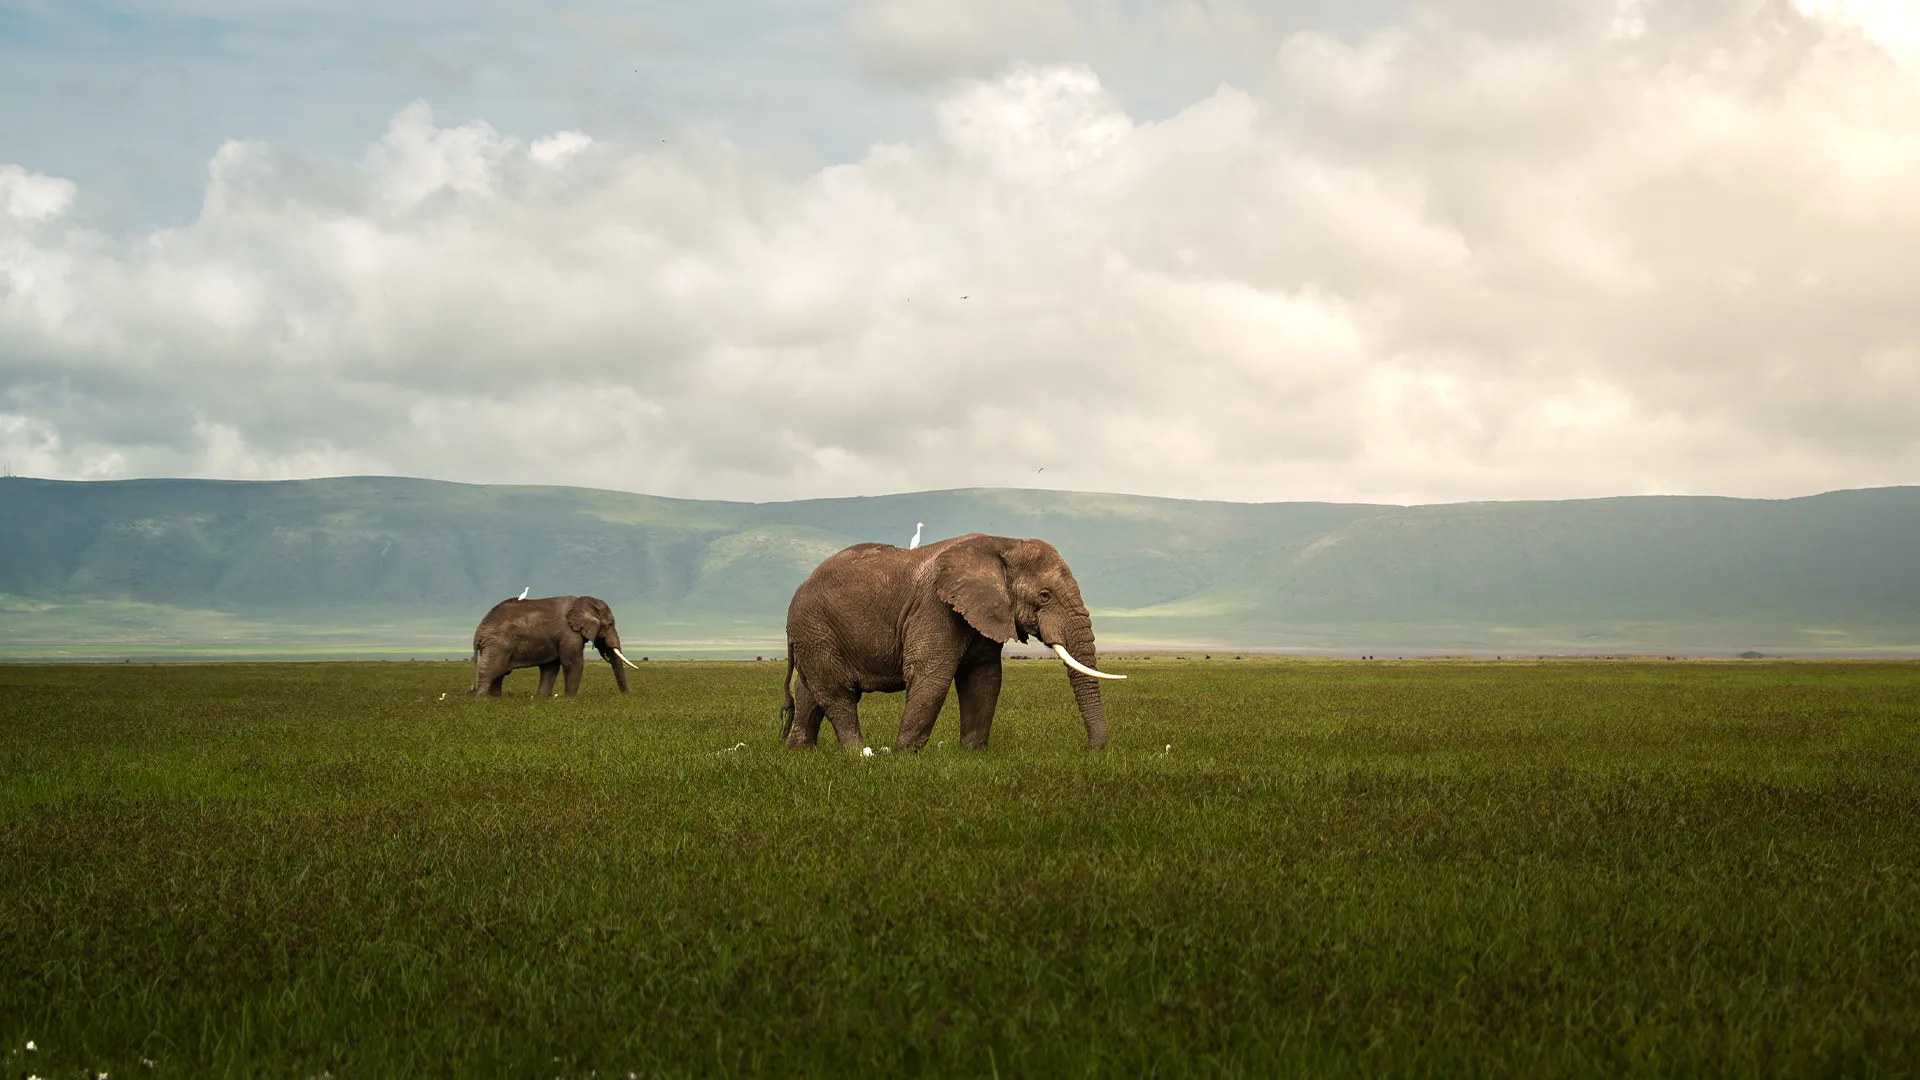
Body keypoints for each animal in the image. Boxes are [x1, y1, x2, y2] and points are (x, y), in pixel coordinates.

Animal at [468, 594, 639, 697]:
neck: (582, 601)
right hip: (498, 644)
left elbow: (550, 668)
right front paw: (570, 700)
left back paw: (496, 699)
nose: (625, 695)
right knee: (491, 670)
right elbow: (573, 663)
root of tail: (479, 632)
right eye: (609, 624)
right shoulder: (568, 633)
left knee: (499, 674)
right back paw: (482, 699)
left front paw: (541, 699)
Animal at [779, 533, 1125, 751]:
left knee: (810, 691)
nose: (1090, 749)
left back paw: (801, 751)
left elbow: (984, 679)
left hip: (814, 634)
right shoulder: (935, 606)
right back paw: (860, 753)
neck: (1004, 544)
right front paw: (903, 754)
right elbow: (931, 676)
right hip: (816, 626)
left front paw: (973, 752)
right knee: (837, 692)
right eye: (1044, 596)